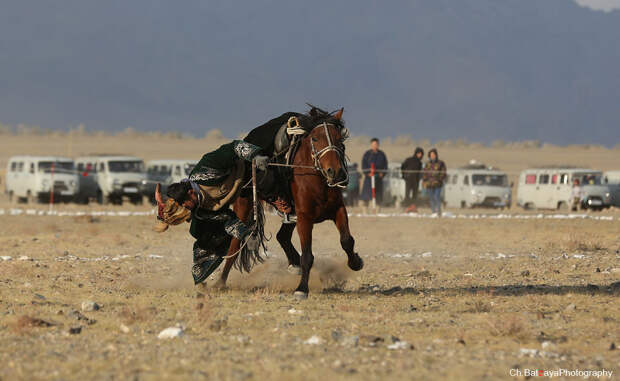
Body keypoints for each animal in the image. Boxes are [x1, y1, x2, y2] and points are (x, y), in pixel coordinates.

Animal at [218, 107, 364, 296]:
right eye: (315, 138)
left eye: (339, 138)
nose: (335, 172)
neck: (317, 181)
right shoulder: (304, 218)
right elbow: (307, 255)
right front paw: (302, 289)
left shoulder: (338, 209)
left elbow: (346, 240)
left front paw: (356, 262)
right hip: (245, 205)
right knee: (235, 244)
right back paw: (220, 282)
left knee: (282, 236)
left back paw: (294, 264)